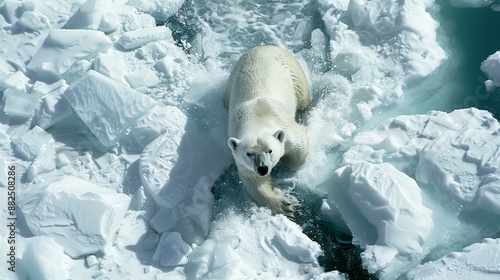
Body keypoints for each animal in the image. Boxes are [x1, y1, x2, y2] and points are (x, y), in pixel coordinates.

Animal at [223, 45, 308, 219]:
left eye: (270, 150)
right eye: (249, 154)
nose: (263, 169)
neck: (255, 116)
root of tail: (263, 46)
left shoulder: (284, 125)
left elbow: (298, 148)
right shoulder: (240, 152)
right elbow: (252, 179)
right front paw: (284, 207)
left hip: (293, 72)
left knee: (304, 99)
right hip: (232, 78)